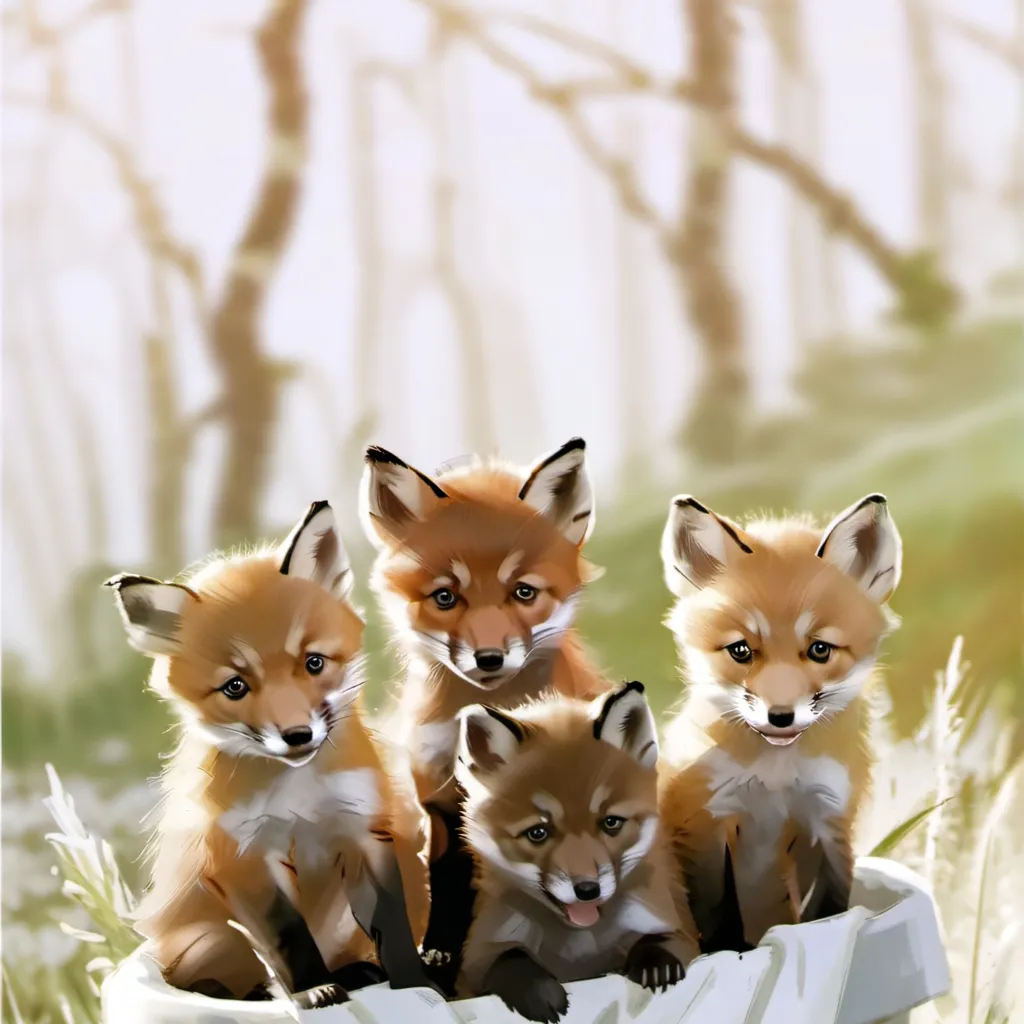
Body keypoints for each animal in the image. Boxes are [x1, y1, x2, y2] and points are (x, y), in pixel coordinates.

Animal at [104, 501, 438, 1007]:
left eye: (313, 663)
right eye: (235, 687)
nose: (297, 735)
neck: (298, 795)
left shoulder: (365, 833)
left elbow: (392, 924)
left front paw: (415, 981)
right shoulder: (246, 857)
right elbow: (289, 938)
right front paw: (314, 989)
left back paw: (365, 970)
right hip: (213, 939)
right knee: (221, 977)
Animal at [454, 681, 700, 1023]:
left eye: (611, 822)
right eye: (538, 832)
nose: (587, 890)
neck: (580, 947)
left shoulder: (677, 926)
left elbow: (662, 940)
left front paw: (656, 965)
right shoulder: (475, 960)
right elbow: (508, 958)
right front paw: (538, 991)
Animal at [656, 492, 903, 951]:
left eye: (820, 649)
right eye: (740, 650)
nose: (781, 716)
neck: (776, 777)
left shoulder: (827, 822)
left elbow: (828, 910)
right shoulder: (705, 821)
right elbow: (717, 918)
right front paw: (728, 954)